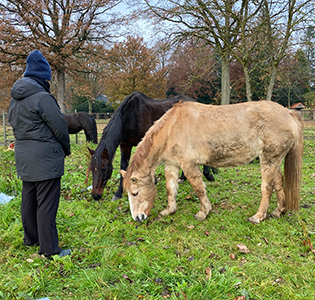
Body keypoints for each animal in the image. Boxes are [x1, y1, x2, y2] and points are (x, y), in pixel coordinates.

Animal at [88, 90, 217, 200]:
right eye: (92, 169)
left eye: (103, 169)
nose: (96, 196)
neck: (130, 116)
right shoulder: (125, 145)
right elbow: (123, 167)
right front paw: (118, 193)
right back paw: (183, 177)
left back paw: (208, 175)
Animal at [122, 100, 304, 223]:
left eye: (135, 193)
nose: (138, 218)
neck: (172, 128)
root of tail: (288, 113)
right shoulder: (171, 165)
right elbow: (170, 188)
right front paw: (169, 211)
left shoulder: (188, 165)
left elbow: (198, 188)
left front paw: (204, 212)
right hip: (275, 159)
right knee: (278, 182)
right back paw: (278, 211)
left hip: (269, 159)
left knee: (267, 187)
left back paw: (258, 216)